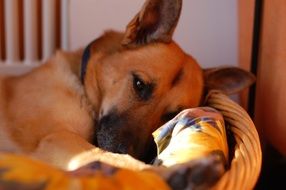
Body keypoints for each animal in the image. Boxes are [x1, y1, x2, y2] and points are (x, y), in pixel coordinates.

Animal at [0, 0, 254, 171]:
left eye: (172, 114)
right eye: (139, 84)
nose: (132, 151)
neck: (82, 86)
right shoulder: (59, 138)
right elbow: (114, 160)